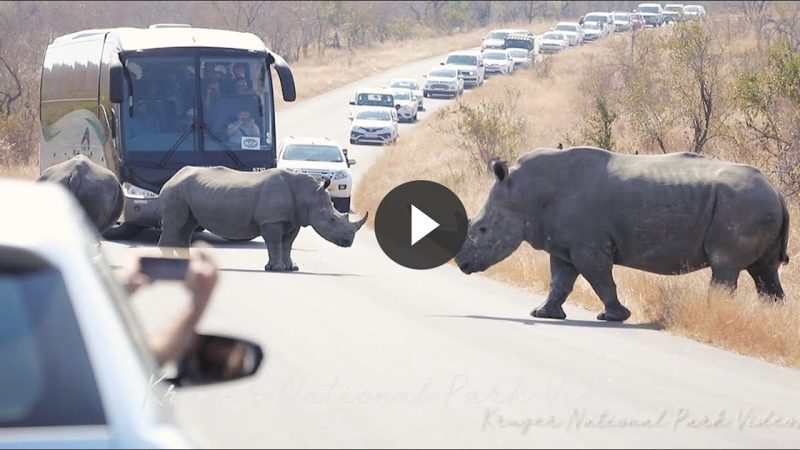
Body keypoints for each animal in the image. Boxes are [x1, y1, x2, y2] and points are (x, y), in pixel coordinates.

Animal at [159, 165, 368, 270]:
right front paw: (276, 268)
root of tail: (172, 177)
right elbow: (275, 243)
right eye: (332, 219)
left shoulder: (293, 220)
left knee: (187, 226)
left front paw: (291, 267)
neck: (308, 194)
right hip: (175, 190)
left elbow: (287, 244)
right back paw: (170, 262)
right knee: (176, 225)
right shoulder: (271, 220)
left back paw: (185, 262)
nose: (348, 242)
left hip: (186, 190)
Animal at [454, 146, 792, 322]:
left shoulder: (587, 247)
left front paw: (615, 317)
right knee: (765, 273)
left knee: (725, 267)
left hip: (743, 205)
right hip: (755, 205)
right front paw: (543, 314)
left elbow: (600, 279)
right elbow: (559, 280)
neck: (525, 193)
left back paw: (712, 316)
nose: (462, 264)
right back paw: (773, 319)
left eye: (482, 229)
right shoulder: (563, 246)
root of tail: (777, 192)